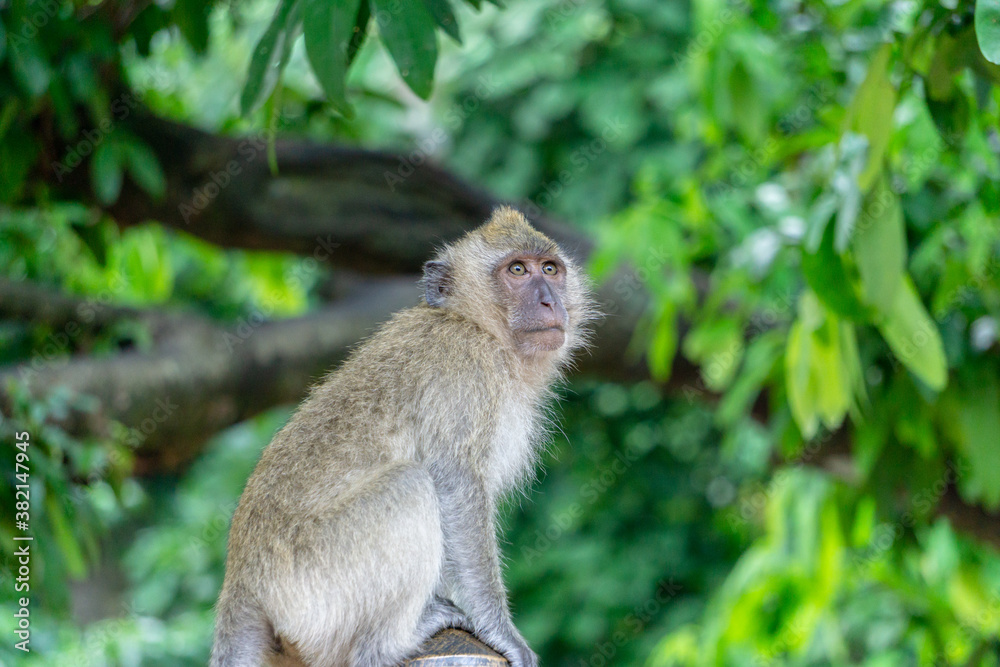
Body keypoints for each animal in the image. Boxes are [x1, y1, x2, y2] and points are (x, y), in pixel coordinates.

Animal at [210, 206, 595, 667]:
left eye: (550, 269)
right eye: (517, 270)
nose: (549, 300)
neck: (474, 325)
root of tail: (243, 585)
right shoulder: (463, 371)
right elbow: (455, 485)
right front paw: (499, 629)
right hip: (313, 589)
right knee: (410, 483)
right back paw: (387, 643)